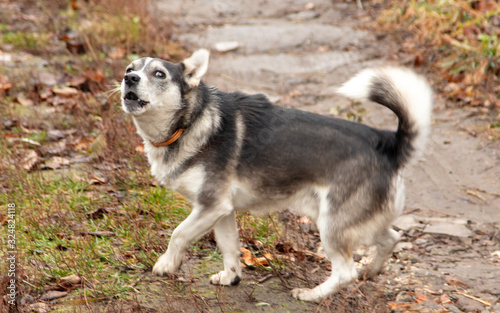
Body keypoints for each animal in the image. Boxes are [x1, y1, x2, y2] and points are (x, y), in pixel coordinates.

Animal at [119, 49, 432, 302]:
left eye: (159, 73)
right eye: (130, 68)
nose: (129, 78)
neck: (191, 121)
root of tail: (388, 144)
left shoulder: (209, 206)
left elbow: (178, 234)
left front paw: (166, 264)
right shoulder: (221, 211)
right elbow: (229, 248)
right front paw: (231, 277)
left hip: (331, 225)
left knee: (345, 272)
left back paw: (312, 295)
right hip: (352, 220)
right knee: (391, 238)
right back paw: (371, 270)